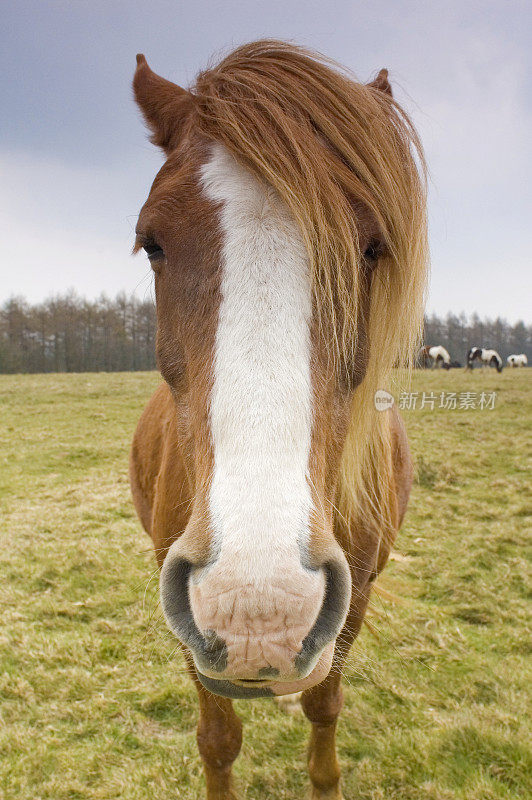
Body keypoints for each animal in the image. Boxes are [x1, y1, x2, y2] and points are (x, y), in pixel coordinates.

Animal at [129, 40, 428, 796]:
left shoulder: (356, 594)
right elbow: (217, 739)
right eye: (152, 242)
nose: (258, 604)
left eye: (372, 247)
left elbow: (324, 706)